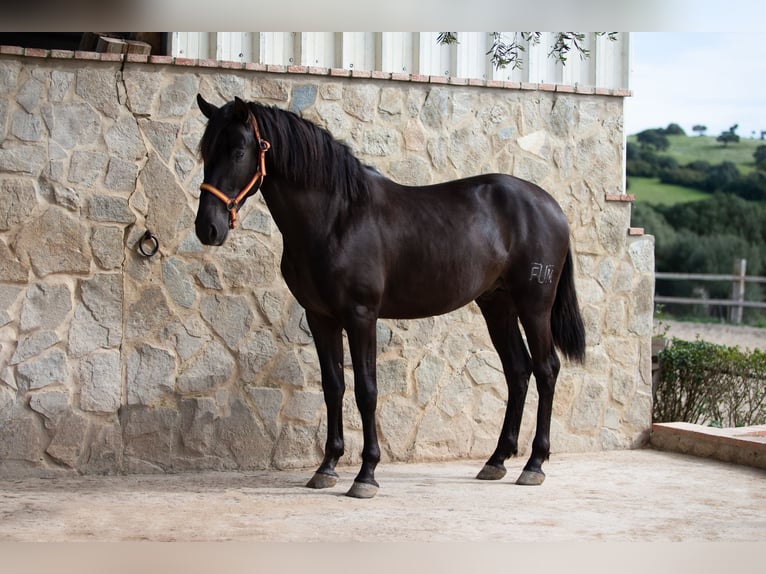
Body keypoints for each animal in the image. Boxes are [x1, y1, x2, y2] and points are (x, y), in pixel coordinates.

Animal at [195, 94, 584, 500]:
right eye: (206, 150)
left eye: (239, 151)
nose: (208, 227)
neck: (338, 218)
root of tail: (551, 206)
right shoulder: (320, 318)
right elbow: (333, 386)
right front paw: (326, 467)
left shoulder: (361, 315)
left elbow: (366, 391)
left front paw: (366, 475)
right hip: (497, 305)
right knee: (518, 371)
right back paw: (496, 461)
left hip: (534, 306)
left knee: (546, 369)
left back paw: (534, 464)